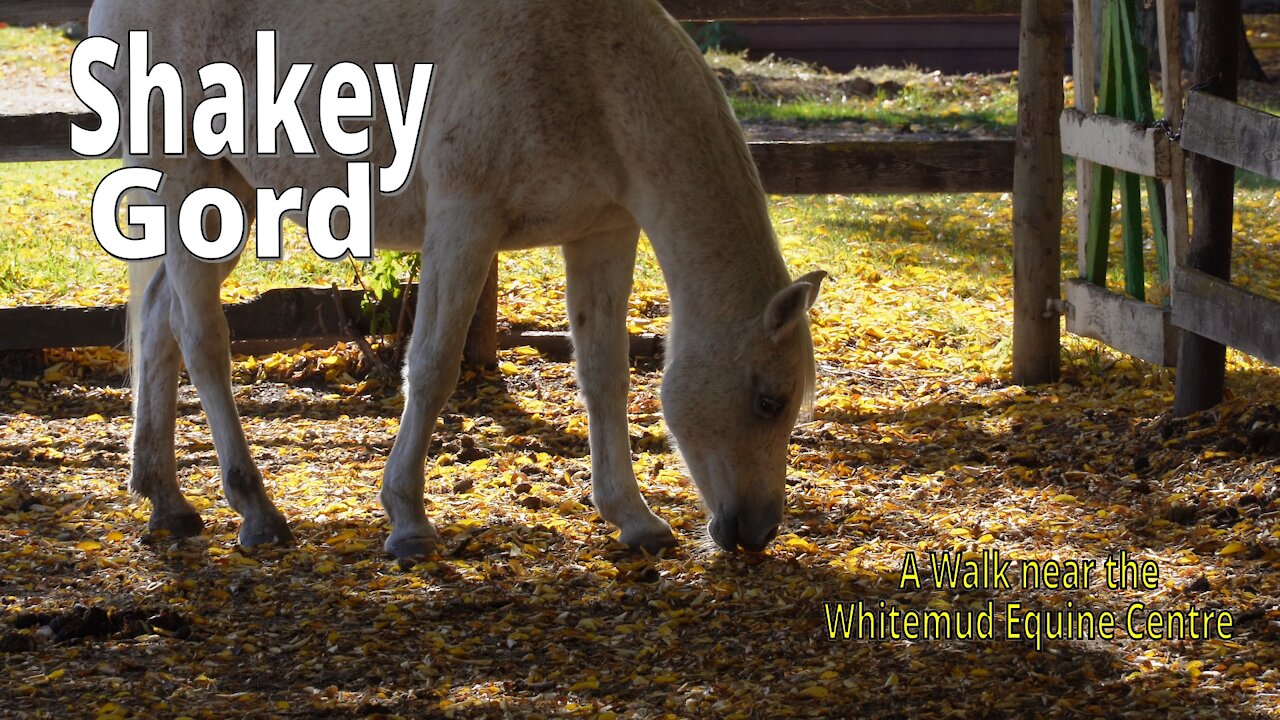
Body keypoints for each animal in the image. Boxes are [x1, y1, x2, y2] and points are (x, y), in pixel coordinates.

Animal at [92, 0, 829, 556]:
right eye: (769, 400)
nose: (757, 532)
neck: (588, 68)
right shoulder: (464, 220)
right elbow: (433, 366)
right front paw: (408, 520)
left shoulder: (602, 235)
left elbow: (605, 376)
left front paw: (633, 517)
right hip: (187, 179)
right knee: (202, 338)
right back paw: (256, 511)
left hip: (232, 194)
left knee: (159, 321)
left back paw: (166, 501)